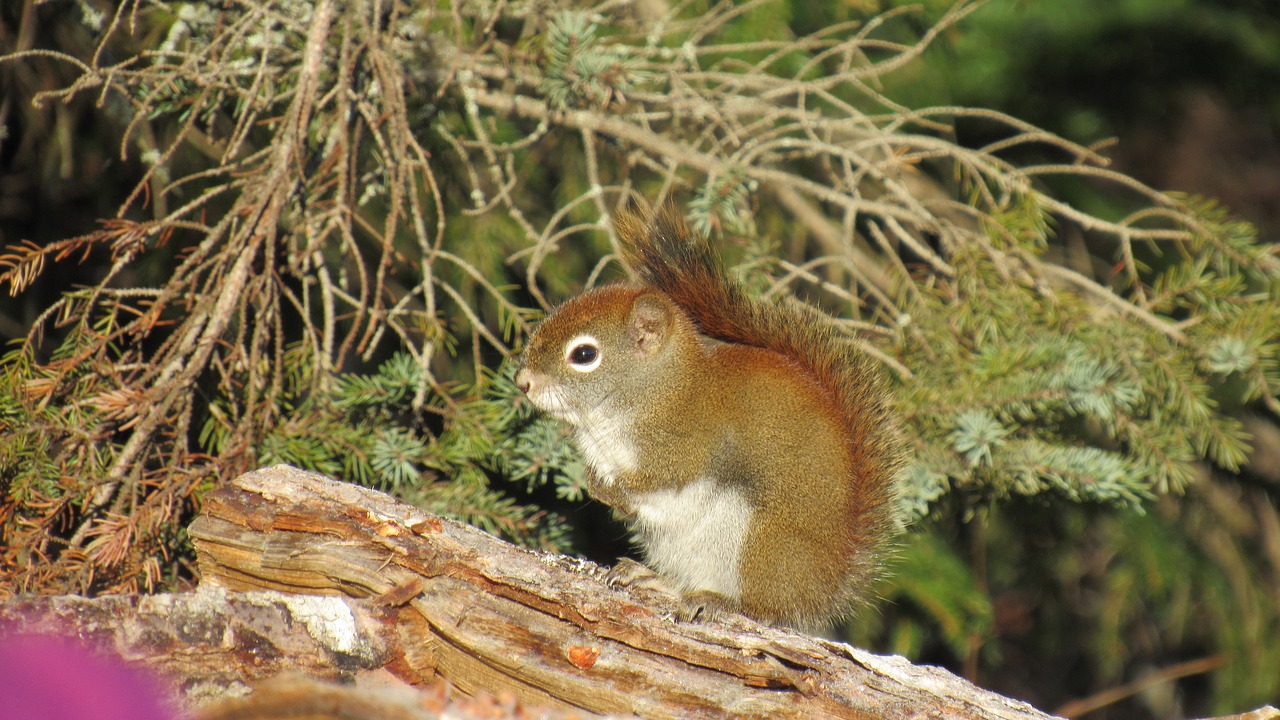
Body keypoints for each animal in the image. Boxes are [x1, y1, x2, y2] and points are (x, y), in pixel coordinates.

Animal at [514, 204, 906, 625]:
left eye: (584, 354)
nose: (522, 382)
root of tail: (824, 590)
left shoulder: (687, 447)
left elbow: (656, 480)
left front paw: (613, 489)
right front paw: (596, 483)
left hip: (759, 544)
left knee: (763, 606)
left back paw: (722, 601)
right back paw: (655, 579)